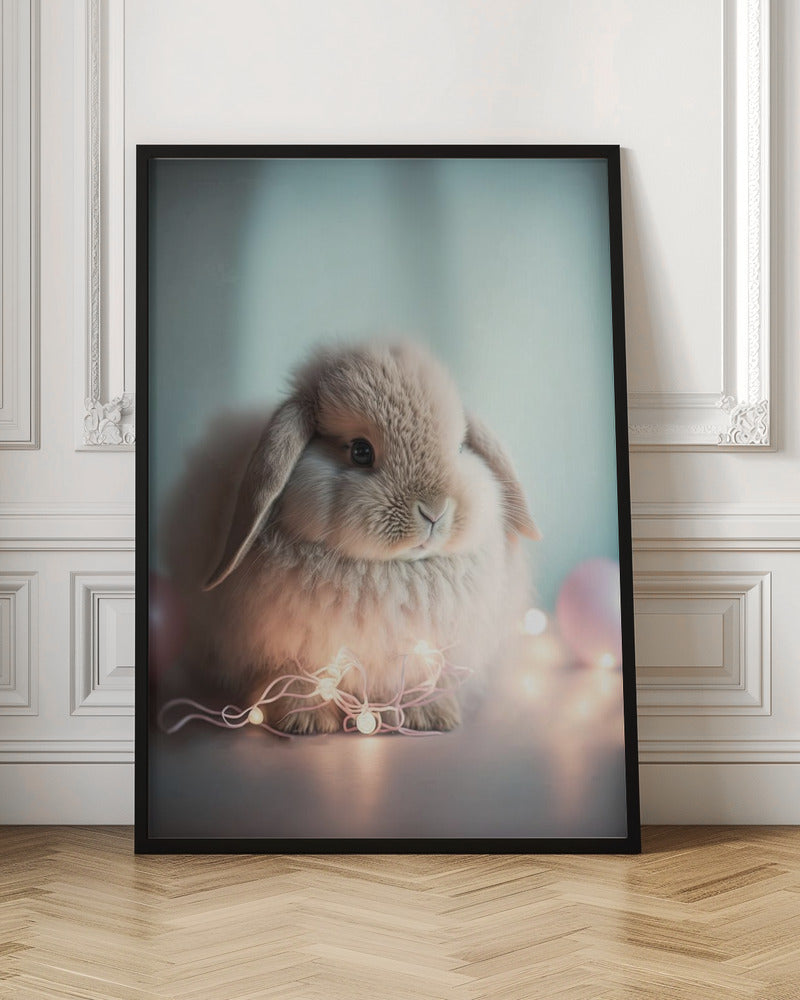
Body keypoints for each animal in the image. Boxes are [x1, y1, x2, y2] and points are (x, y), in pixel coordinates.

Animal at [161, 339, 540, 734]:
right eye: (360, 451)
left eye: (460, 447)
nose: (434, 511)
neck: (389, 571)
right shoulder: (290, 652)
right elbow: (296, 679)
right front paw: (305, 721)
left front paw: (431, 716)